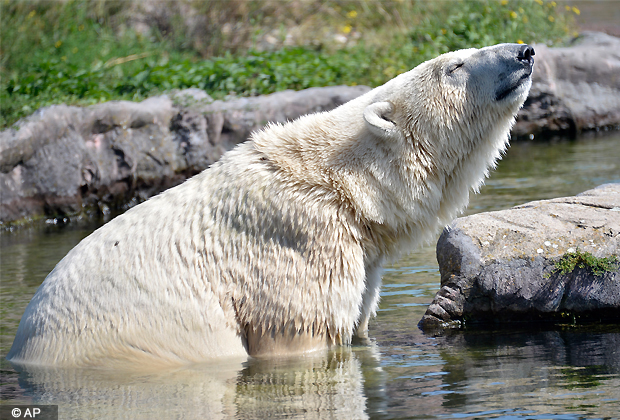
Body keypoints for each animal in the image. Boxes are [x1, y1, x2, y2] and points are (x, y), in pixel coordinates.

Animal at [7, 41, 536, 364]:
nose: (525, 52)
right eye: (456, 65)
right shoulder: (297, 245)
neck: (342, 184)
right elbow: (305, 333)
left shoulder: (364, 254)